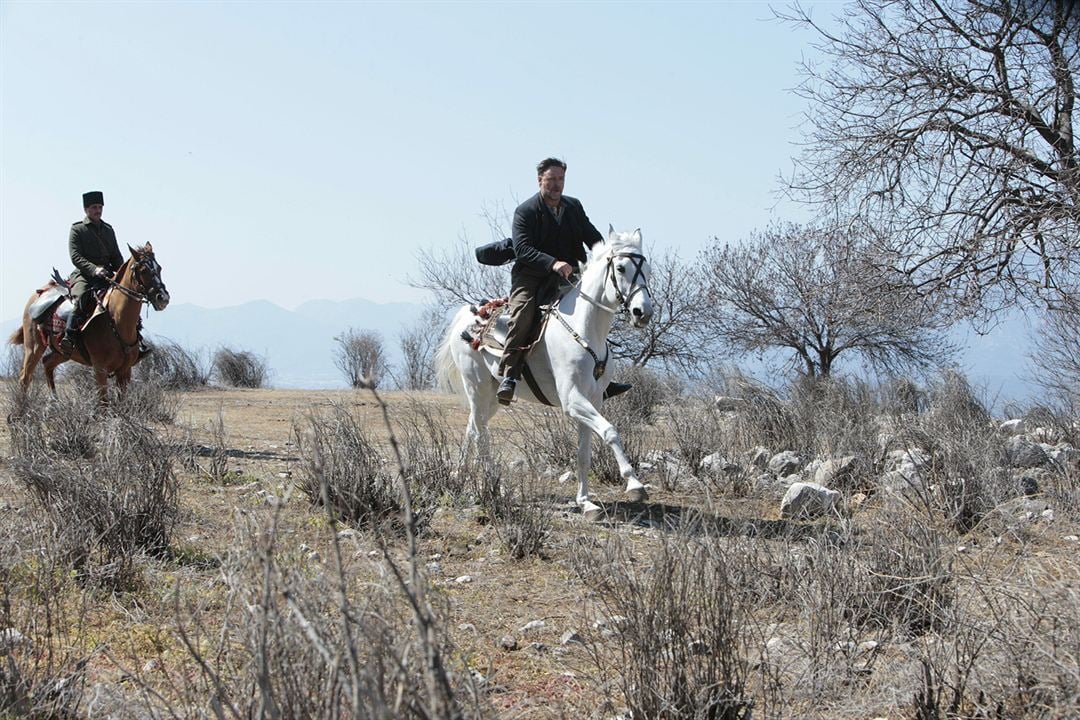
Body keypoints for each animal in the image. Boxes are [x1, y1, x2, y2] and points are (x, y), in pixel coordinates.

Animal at [8, 243, 168, 403]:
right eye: (143, 270)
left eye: (159, 268)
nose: (163, 298)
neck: (115, 321)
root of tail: (40, 292)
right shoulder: (100, 369)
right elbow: (103, 402)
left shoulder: (125, 371)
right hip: (34, 347)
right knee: (25, 377)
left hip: (63, 352)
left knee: (47, 363)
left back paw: (54, 401)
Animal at [434, 226, 652, 518]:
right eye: (620, 268)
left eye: (647, 270)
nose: (643, 312)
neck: (584, 329)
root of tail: (468, 317)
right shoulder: (572, 400)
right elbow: (610, 431)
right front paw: (634, 484)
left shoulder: (593, 400)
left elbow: (584, 453)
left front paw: (586, 502)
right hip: (476, 387)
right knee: (481, 435)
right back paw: (493, 486)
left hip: (491, 397)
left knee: (472, 427)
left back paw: (460, 475)